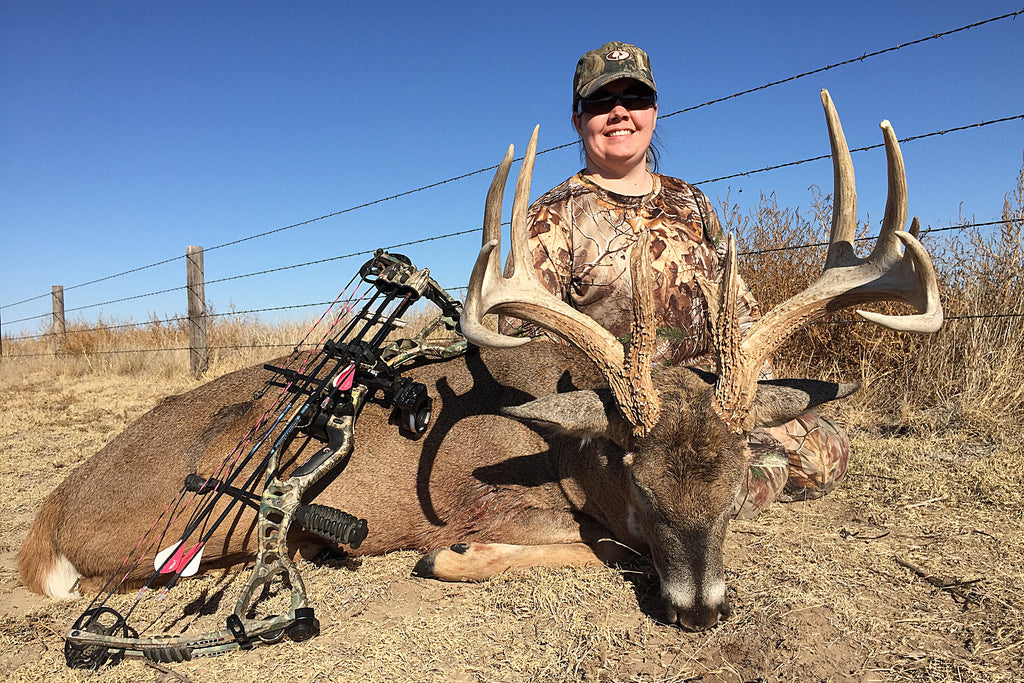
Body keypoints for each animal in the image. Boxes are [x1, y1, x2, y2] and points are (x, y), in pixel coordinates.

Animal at [18, 90, 942, 630]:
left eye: (735, 487)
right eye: (641, 482)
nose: (701, 609)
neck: (571, 455)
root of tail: (54, 511)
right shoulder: (498, 506)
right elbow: (611, 547)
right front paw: (453, 558)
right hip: (217, 522)